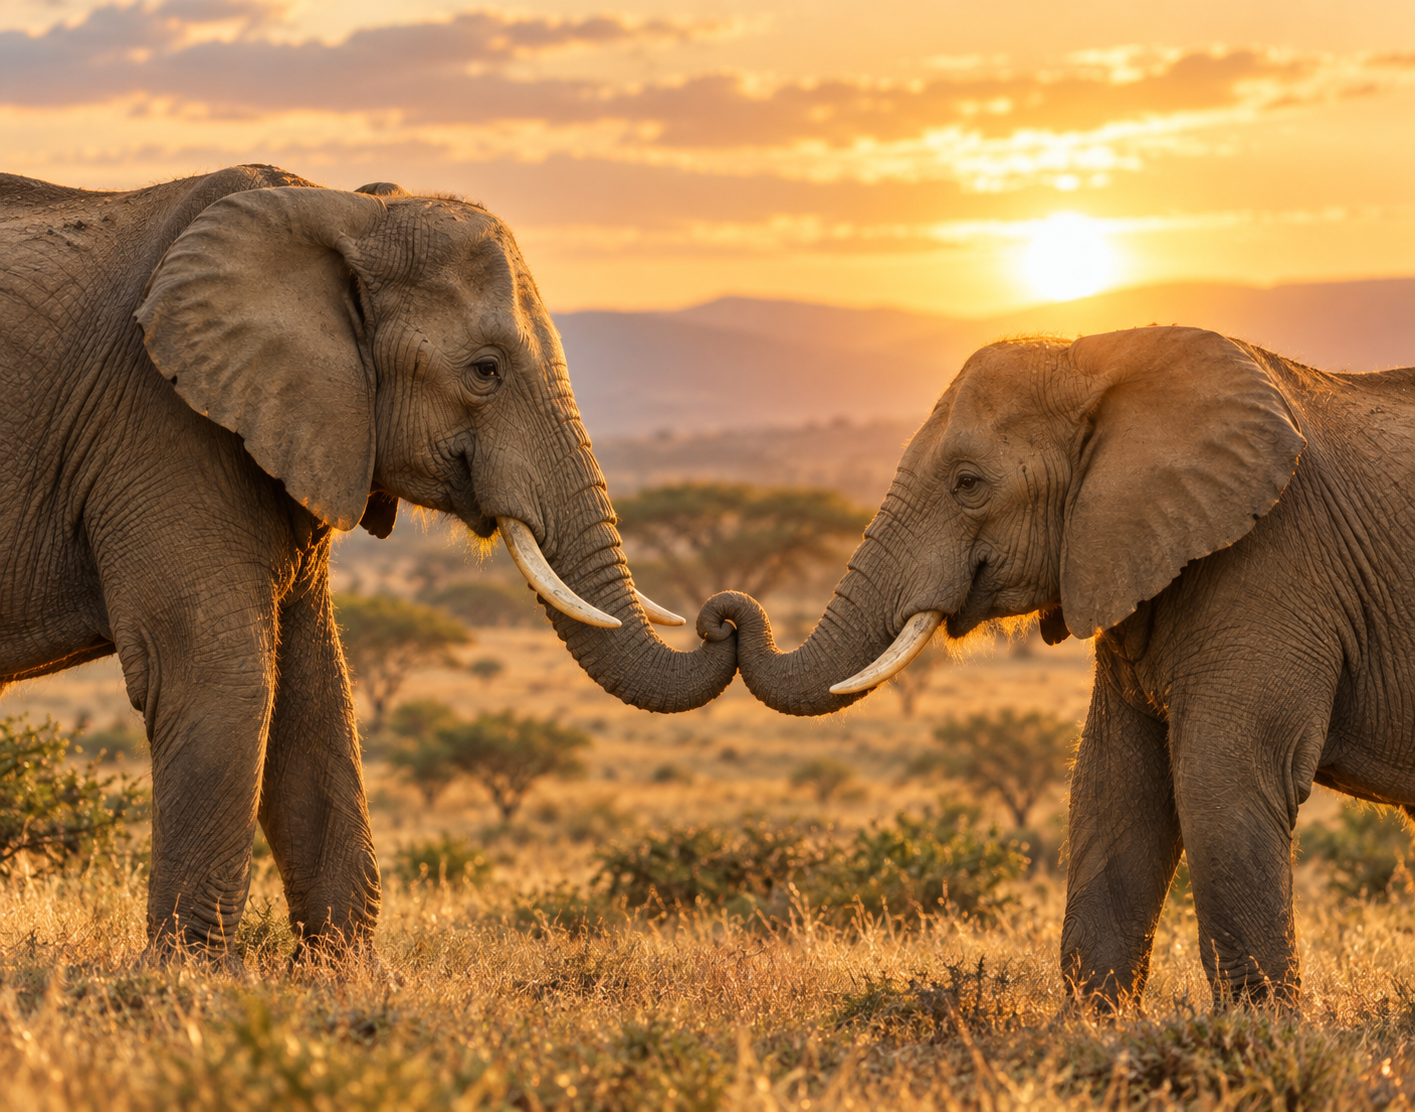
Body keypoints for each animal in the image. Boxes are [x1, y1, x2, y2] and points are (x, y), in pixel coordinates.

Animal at [0, 165, 736, 960]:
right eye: (485, 371)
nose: (724, 617)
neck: (344, 210)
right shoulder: (161, 422)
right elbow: (222, 673)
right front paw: (188, 977)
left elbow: (312, 688)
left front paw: (339, 973)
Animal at [703, 324, 1415, 1006]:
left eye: (968, 483)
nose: (721, 619)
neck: (1097, 358)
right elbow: (1114, 787)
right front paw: (1095, 1031)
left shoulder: (1277, 557)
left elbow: (1222, 780)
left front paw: (1257, 1034)